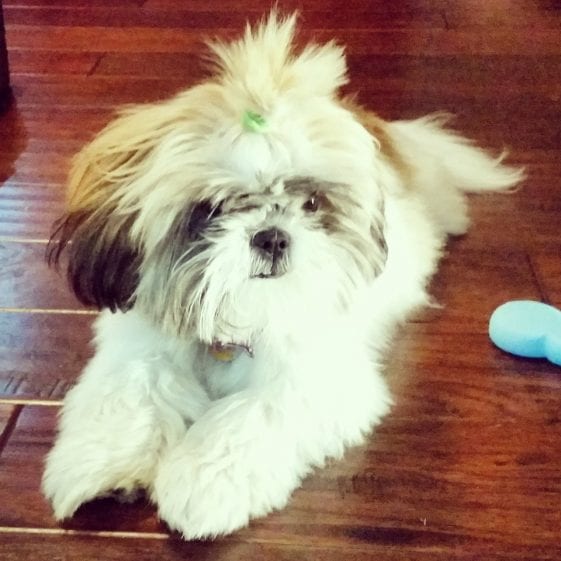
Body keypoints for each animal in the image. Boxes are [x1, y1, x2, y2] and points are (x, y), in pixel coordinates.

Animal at [41, 14, 524, 540]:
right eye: (212, 209)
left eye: (311, 204)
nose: (272, 237)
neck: (236, 317)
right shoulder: (137, 350)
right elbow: (128, 396)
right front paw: (103, 470)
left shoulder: (313, 379)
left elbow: (250, 417)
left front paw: (202, 489)